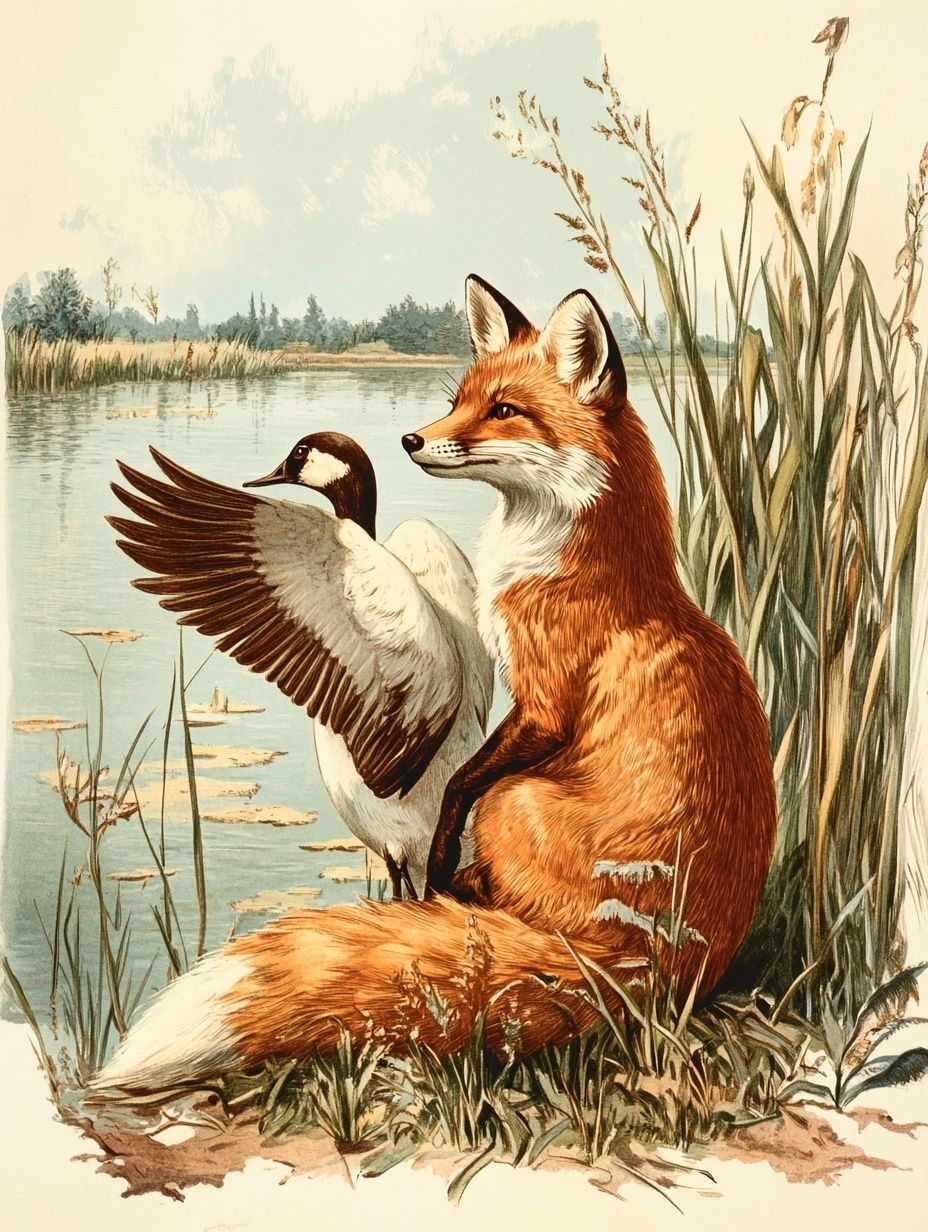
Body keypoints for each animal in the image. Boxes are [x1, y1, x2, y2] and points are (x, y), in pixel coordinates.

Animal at [93, 275, 776, 1093]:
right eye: (459, 396)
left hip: (515, 800)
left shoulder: (541, 710)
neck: (582, 568)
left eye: (504, 408)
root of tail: (668, 965)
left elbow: (454, 792)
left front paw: (445, 875)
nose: (412, 441)